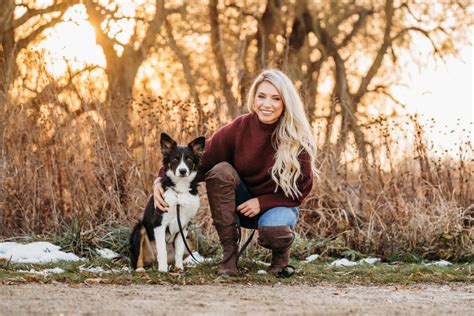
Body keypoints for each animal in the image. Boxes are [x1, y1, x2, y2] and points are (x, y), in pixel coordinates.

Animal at [130, 132, 204, 272]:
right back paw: (141, 268)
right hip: (140, 228)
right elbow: (162, 250)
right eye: (175, 159)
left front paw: (179, 268)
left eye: (189, 159)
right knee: (138, 258)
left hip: (189, 243)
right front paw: (163, 270)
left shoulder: (184, 226)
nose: (182, 171)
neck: (179, 191)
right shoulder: (159, 223)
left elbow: (179, 251)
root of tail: (152, 261)